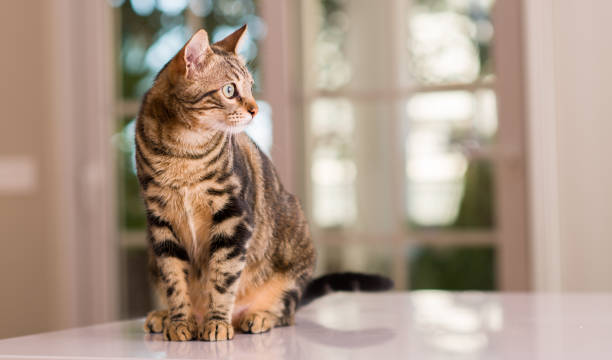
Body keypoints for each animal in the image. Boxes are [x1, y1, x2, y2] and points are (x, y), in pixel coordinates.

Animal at [136, 24, 392, 340]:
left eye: (250, 86)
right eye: (230, 89)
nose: (255, 109)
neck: (184, 151)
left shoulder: (234, 217)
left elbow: (223, 278)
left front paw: (217, 322)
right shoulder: (161, 223)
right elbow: (174, 280)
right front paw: (180, 322)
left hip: (294, 255)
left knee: (287, 311)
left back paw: (257, 316)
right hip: (151, 255)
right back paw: (165, 316)